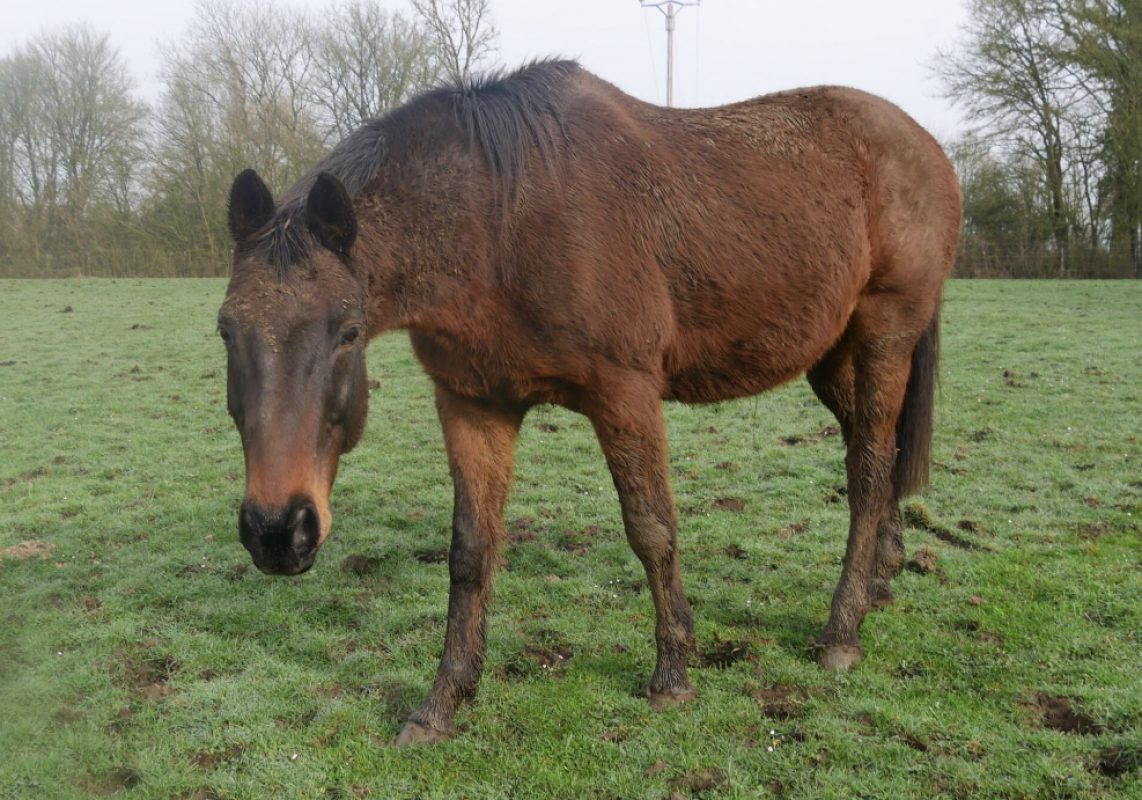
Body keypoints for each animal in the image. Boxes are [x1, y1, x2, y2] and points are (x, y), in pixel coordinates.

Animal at [218, 60, 961, 745]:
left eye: (347, 331)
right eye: (226, 329)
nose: (278, 531)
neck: (500, 222)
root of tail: (928, 146)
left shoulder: (625, 392)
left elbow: (651, 528)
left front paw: (672, 674)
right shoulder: (472, 403)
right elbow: (470, 551)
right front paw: (442, 702)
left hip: (884, 337)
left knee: (867, 469)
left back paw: (841, 630)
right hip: (831, 358)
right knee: (878, 453)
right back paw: (882, 578)